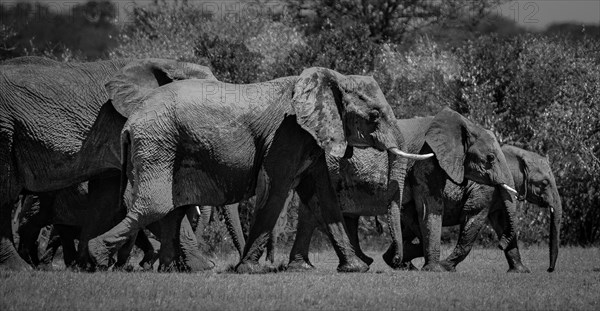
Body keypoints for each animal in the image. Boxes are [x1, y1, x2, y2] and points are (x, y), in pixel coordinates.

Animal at [0, 57, 216, 272]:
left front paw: (89, 265)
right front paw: (199, 268)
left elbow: (105, 197)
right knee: (8, 197)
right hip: (5, 130)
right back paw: (20, 267)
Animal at [89, 67, 434, 272]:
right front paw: (248, 269)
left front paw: (355, 269)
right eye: (374, 116)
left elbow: (322, 195)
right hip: (157, 141)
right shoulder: (287, 134)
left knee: (170, 209)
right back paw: (97, 258)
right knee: (156, 204)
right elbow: (277, 188)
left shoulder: (308, 138)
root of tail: (130, 122)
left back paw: (171, 271)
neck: (330, 78)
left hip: (164, 143)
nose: (396, 261)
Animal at [284, 109, 524, 272]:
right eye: (490, 158)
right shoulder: (426, 161)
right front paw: (435, 269)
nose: (500, 244)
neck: (463, 124)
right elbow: (430, 207)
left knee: (314, 213)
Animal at [398, 144, 564, 272]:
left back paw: (404, 265)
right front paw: (446, 267)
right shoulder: (485, 189)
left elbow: (503, 223)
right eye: (544, 183)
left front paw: (521, 272)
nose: (549, 270)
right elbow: (474, 218)